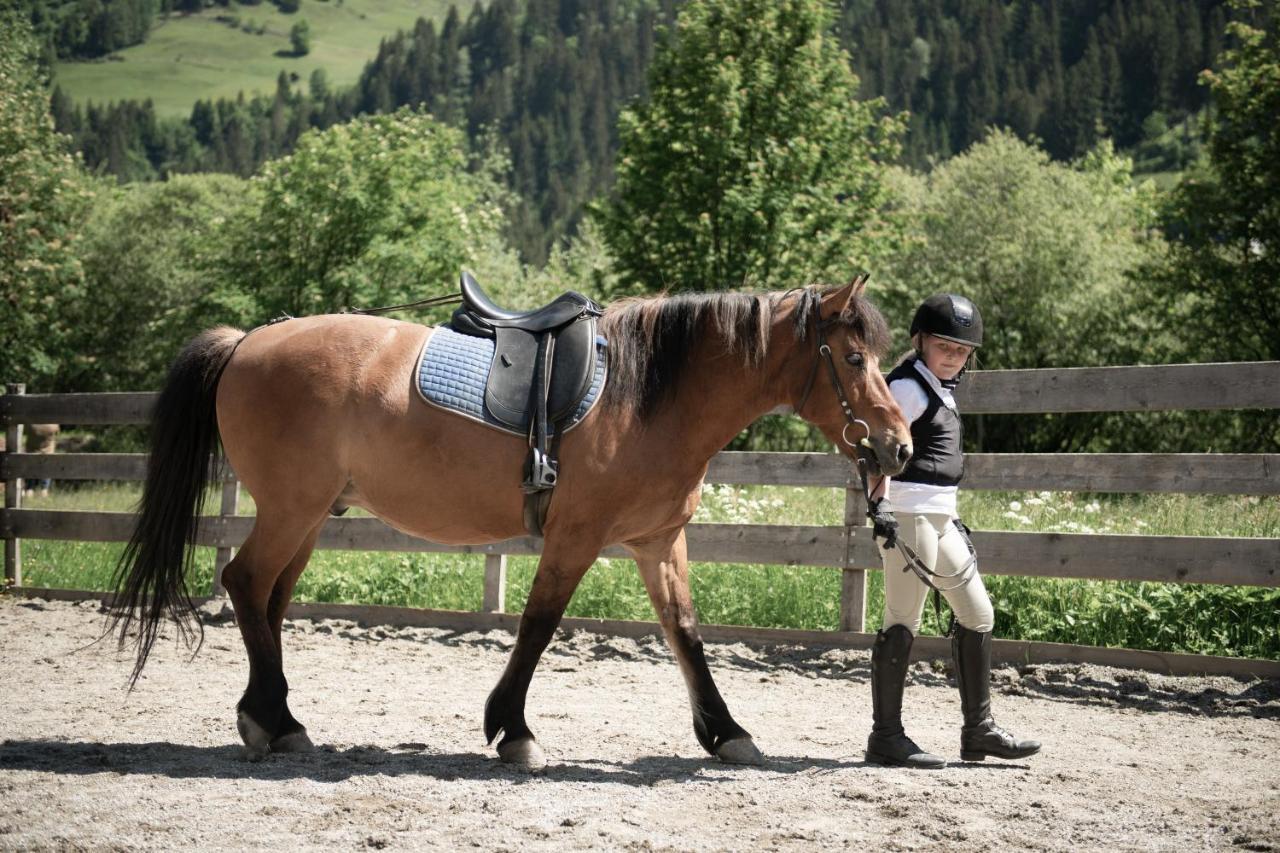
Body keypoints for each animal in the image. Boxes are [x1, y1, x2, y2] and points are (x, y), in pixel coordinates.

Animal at [110, 277, 911, 763]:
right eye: (852, 357)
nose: (898, 445)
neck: (648, 393)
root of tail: (247, 340)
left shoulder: (657, 542)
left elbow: (685, 632)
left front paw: (726, 732)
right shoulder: (575, 536)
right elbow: (538, 624)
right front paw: (513, 728)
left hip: (306, 517)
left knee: (269, 600)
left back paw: (273, 718)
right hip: (291, 509)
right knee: (246, 584)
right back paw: (273, 719)